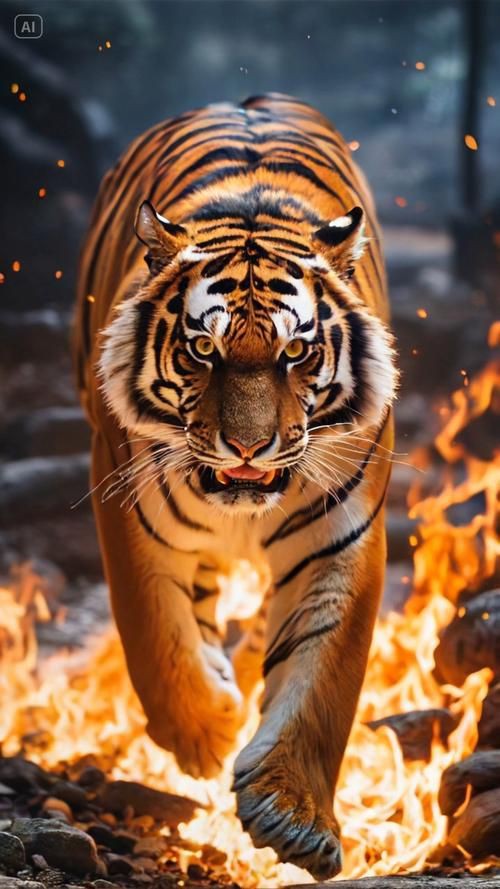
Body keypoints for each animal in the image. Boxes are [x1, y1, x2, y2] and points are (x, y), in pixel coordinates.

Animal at [73, 93, 397, 880]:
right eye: (201, 349)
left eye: (296, 353)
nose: (248, 446)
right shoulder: (125, 500)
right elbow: (154, 633)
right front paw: (204, 732)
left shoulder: (343, 533)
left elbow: (325, 671)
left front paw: (294, 817)